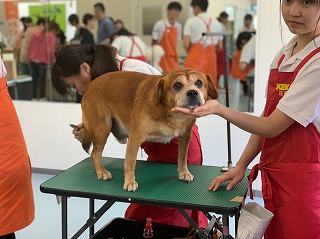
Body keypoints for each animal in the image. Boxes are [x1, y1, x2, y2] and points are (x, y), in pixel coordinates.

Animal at [81, 68, 219, 191]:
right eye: (177, 85)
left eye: (199, 83)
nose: (192, 93)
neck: (172, 114)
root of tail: (89, 85)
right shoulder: (135, 136)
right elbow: (130, 162)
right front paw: (129, 181)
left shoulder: (185, 135)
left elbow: (182, 157)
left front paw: (184, 172)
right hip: (101, 129)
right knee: (95, 153)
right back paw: (101, 171)